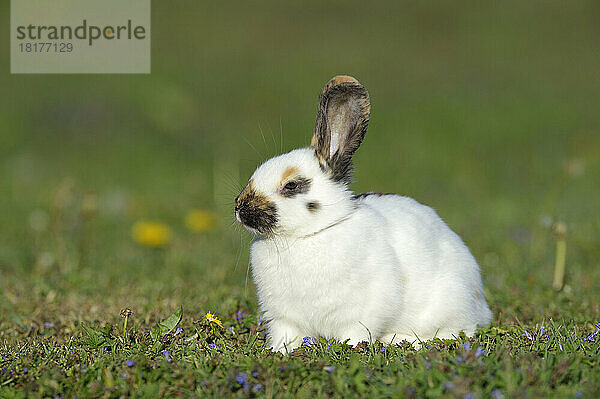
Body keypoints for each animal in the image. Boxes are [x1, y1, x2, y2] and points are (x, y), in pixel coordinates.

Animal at [234, 75, 492, 354]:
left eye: (291, 185)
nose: (239, 208)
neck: (306, 236)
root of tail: (481, 303)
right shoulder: (284, 319)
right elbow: (286, 336)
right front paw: (279, 352)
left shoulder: (361, 312)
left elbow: (354, 333)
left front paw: (351, 348)